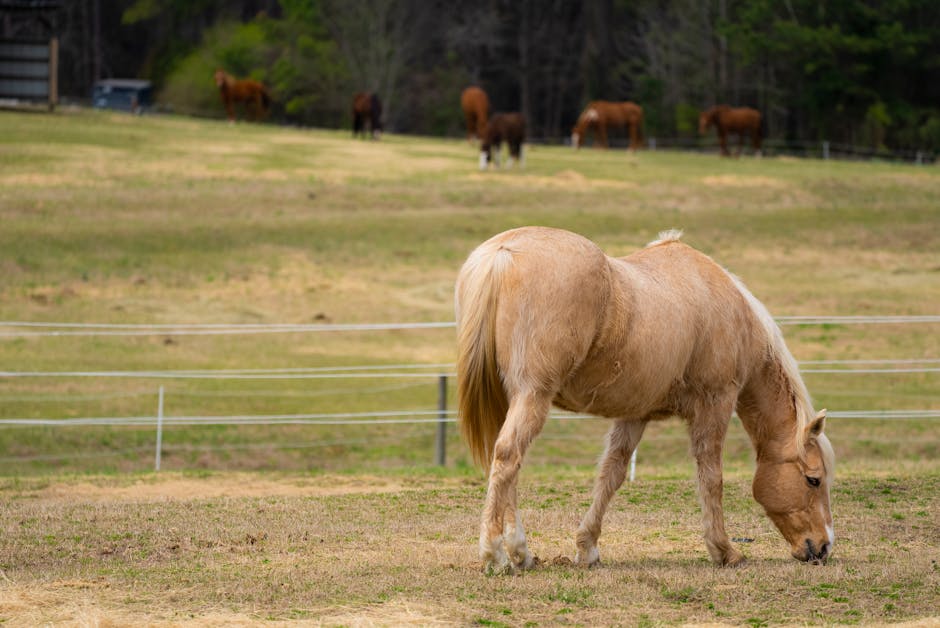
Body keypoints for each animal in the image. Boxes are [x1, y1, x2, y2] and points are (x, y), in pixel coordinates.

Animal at [458, 227, 832, 576]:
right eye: (813, 479)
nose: (824, 547)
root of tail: (502, 252)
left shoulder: (634, 415)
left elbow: (612, 474)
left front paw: (587, 548)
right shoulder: (716, 403)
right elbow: (711, 477)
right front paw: (725, 551)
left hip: (515, 399)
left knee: (509, 464)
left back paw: (521, 554)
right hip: (533, 395)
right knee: (508, 456)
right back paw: (496, 554)